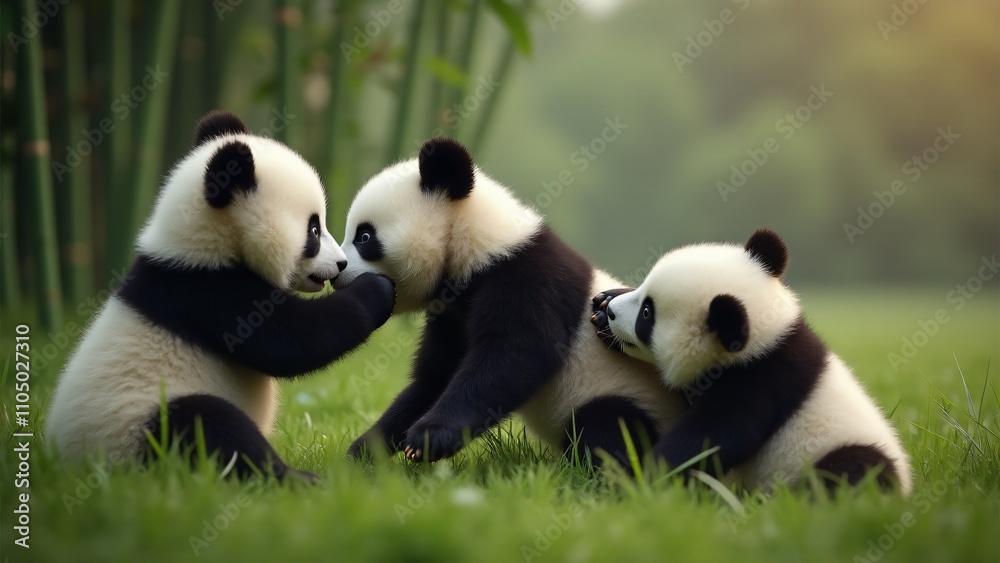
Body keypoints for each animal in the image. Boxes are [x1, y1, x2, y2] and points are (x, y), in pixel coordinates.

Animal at [45, 111, 396, 481]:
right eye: (313, 230)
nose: (340, 263)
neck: (199, 245)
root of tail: (67, 467)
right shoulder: (204, 293)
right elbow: (290, 341)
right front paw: (378, 289)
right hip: (133, 426)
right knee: (207, 424)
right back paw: (296, 478)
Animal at [335, 137, 684, 467]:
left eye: (364, 237)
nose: (338, 270)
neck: (476, 243)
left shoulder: (526, 276)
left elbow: (517, 353)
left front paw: (429, 437)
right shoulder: (452, 312)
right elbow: (435, 376)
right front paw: (365, 451)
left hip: (630, 396)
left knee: (607, 426)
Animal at [590, 228, 912, 494]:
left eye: (647, 314)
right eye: (642, 290)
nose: (613, 313)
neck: (765, 338)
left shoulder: (759, 381)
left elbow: (714, 436)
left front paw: (643, 479)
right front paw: (602, 305)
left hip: (842, 454)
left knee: (853, 471)